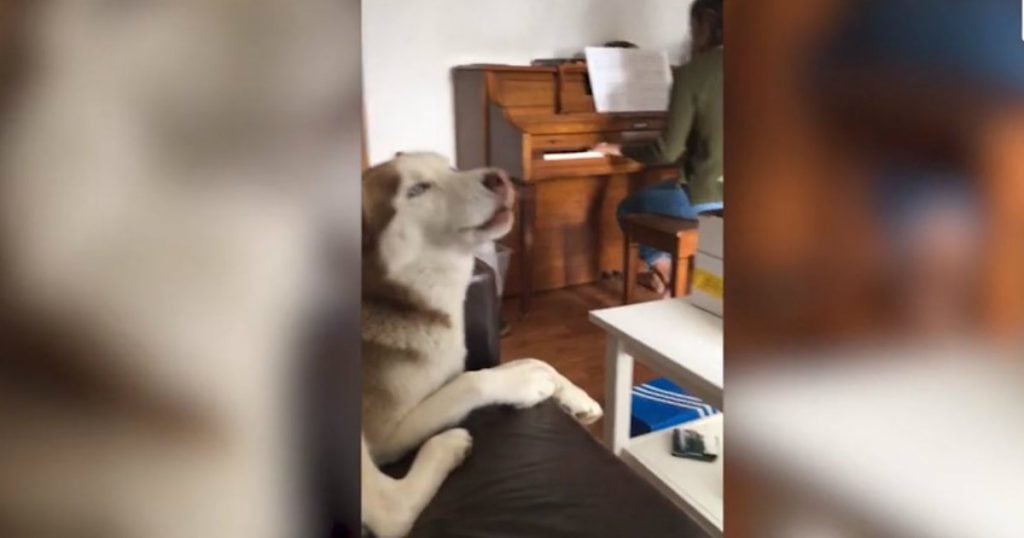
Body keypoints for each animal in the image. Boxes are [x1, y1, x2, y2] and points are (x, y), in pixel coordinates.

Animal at [360, 151, 598, 536]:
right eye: (417, 189)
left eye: (450, 168)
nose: (500, 177)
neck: (401, 299)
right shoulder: (384, 436)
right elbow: (472, 381)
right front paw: (526, 385)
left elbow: (530, 361)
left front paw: (573, 395)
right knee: (391, 511)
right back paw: (447, 446)